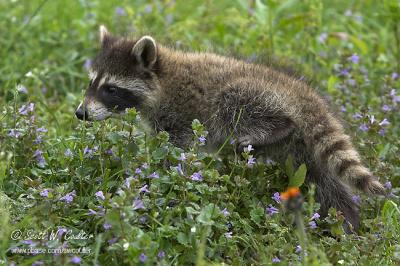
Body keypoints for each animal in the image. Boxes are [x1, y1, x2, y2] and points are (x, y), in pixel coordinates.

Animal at [75, 26, 384, 232]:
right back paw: (347, 221)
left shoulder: (182, 116)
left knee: (236, 106)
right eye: (91, 83)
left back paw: (273, 128)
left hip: (254, 96)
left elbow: (177, 154)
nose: (80, 113)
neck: (162, 78)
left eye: (111, 89)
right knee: (326, 184)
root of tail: (303, 95)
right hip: (305, 152)